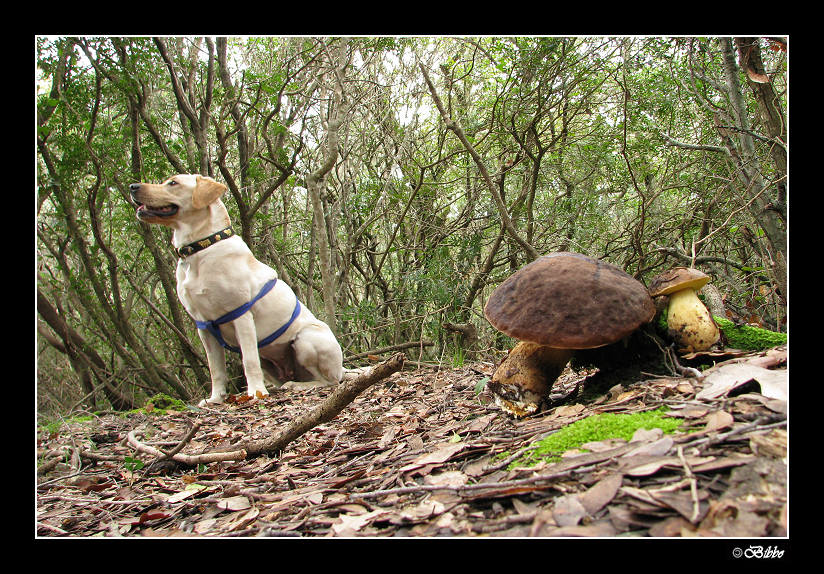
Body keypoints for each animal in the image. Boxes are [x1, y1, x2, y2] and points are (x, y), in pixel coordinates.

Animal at [129, 174, 344, 406]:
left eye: (173, 183)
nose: (133, 186)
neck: (201, 249)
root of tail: (342, 367)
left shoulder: (241, 314)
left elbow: (249, 361)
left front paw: (256, 393)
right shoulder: (204, 326)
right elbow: (215, 369)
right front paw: (215, 398)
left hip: (305, 339)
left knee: (328, 381)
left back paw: (297, 386)